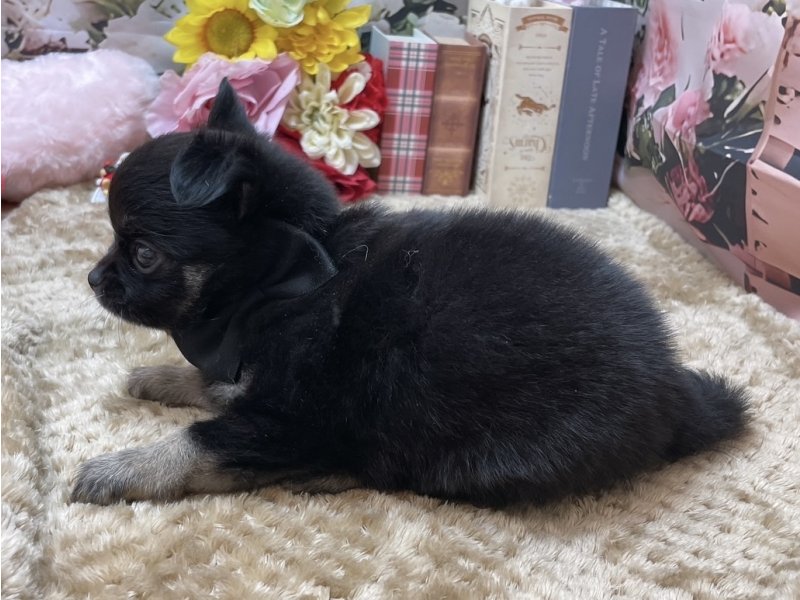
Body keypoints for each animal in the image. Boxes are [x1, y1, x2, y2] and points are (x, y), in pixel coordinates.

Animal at [72, 80, 748, 506]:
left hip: (477, 443)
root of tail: (676, 393)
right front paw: (161, 377)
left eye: (142, 253)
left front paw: (125, 467)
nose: (93, 279)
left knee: (400, 467)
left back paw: (324, 476)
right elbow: (217, 383)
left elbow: (199, 441)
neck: (285, 284)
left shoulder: (292, 417)